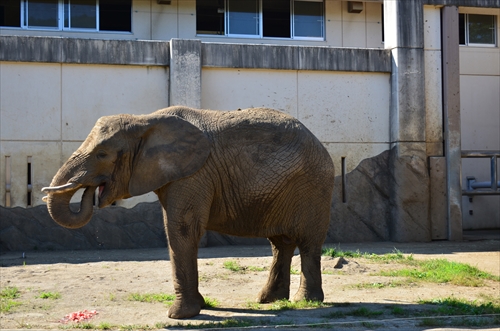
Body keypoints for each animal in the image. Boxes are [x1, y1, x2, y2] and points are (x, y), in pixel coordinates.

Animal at [42, 106, 336, 320]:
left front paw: (179, 316)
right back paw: (269, 300)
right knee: (280, 244)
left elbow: (182, 229)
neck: (144, 120)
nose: (91, 191)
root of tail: (321, 145)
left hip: (313, 187)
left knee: (308, 243)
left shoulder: (194, 174)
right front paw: (198, 307)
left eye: (102, 154)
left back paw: (305, 302)